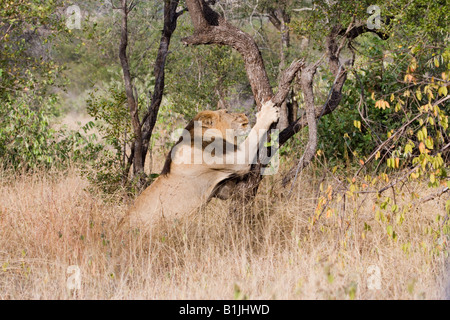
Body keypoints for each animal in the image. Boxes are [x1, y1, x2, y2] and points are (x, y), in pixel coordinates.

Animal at [123, 100, 278, 228]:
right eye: (227, 112)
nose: (245, 114)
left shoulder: (222, 189)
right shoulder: (238, 159)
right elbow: (254, 133)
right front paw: (267, 112)